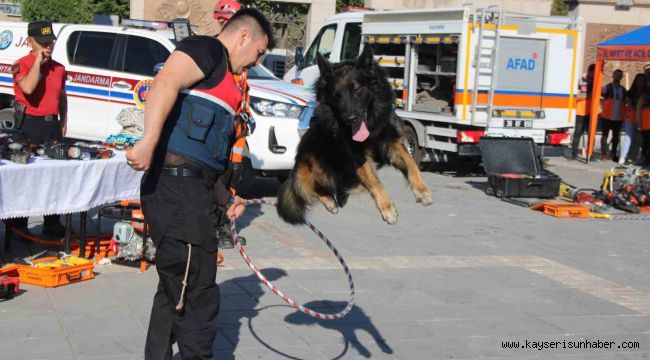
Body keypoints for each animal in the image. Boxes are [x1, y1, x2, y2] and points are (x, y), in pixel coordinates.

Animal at [274, 46, 430, 224]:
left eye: (357, 89)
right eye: (337, 95)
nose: (351, 118)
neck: (371, 125)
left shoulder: (392, 141)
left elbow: (411, 163)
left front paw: (422, 190)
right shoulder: (357, 155)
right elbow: (376, 183)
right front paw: (387, 208)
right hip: (314, 164)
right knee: (306, 188)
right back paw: (330, 201)